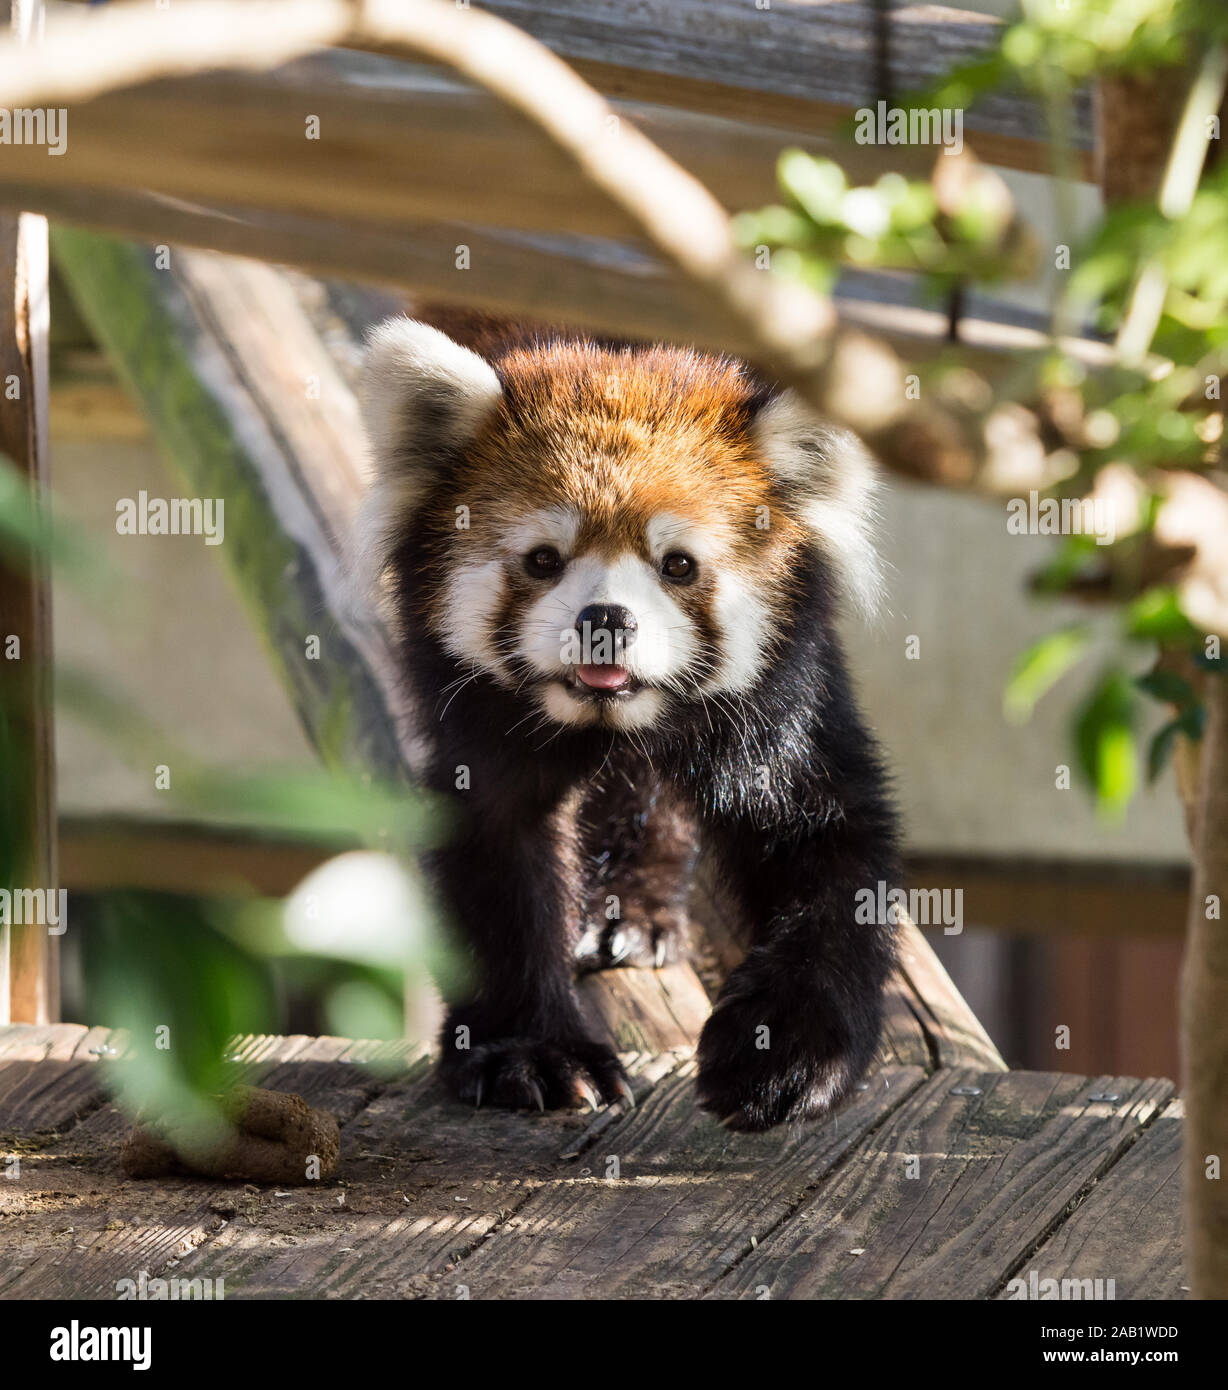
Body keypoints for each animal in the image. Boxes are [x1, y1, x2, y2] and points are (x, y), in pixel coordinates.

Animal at [356, 312, 900, 1131]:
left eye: (677, 565)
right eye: (543, 559)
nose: (606, 620)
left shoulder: (784, 697)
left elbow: (829, 846)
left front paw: (788, 1054)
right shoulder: (474, 710)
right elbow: (497, 850)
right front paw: (528, 1050)